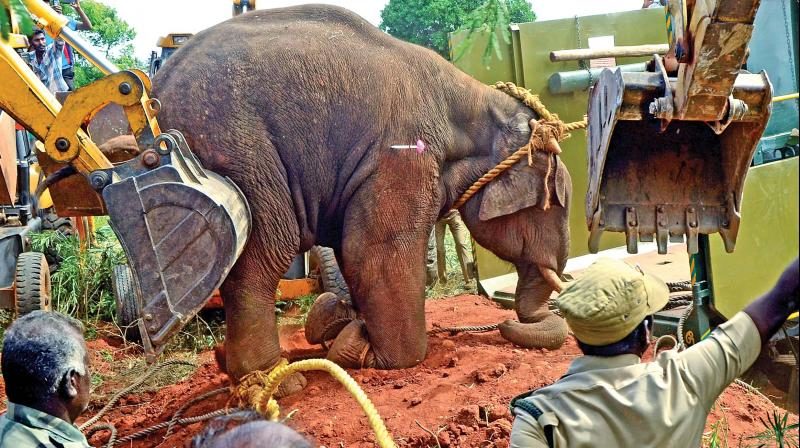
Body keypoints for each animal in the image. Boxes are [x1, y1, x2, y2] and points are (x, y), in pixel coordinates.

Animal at [150, 3, 572, 384]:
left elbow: (349, 250)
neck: (477, 100)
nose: (505, 325)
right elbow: (372, 253)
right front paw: (355, 346)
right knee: (260, 257)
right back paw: (276, 381)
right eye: (554, 204)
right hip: (237, 152)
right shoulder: (401, 155)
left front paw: (334, 322)